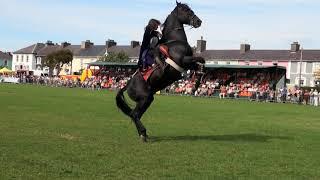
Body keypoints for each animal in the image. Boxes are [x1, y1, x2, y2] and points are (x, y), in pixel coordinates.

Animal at [116, 1, 204, 142]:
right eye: (185, 10)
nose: (198, 21)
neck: (175, 41)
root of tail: (126, 85)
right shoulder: (183, 60)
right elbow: (201, 59)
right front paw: (194, 84)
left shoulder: (188, 63)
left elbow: (201, 64)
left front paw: (195, 86)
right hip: (145, 97)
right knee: (134, 114)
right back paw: (143, 133)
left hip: (147, 99)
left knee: (135, 114)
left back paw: (143, 134)